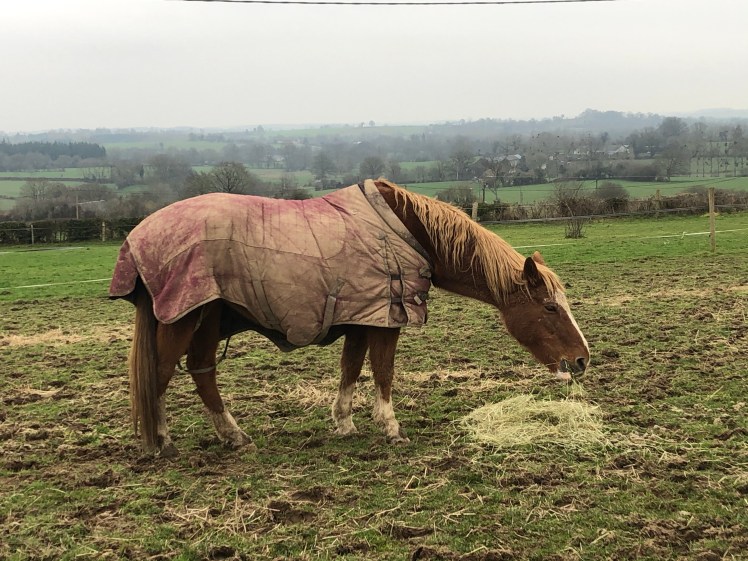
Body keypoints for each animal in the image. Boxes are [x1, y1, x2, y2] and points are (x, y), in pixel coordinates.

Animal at [110, 178, 589, 456]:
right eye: (550, 307)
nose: (583, 359)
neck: (407, 230)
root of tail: (138, 236)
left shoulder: (363, 316)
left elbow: (351, 369)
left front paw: (344, 422)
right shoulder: (386, 318)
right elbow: (382, 371)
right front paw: (390, 426)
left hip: (207, 318)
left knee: (201, 371)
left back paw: (233, 435)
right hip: (183, 318)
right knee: (161, 374)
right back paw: (162, 441)